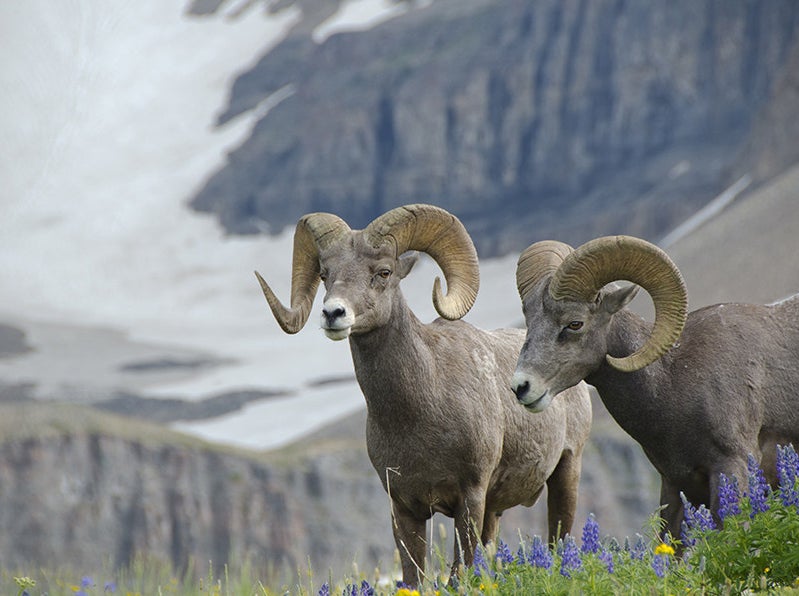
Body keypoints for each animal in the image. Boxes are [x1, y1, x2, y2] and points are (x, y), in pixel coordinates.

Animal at [256, 205, 592, 588]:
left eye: (383, 272)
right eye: (326, 274)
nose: (333, 314)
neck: (420, 411)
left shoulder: (470, 498)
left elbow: (459, 573)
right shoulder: (404, 508)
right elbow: (413, 575)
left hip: (566, 473)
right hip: (496, 510)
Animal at [512, 236, 799, 540]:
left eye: (575, 323)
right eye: (530, 321)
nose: (521, 386)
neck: (673, 381)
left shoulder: (733, 466)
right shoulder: (675, 485)